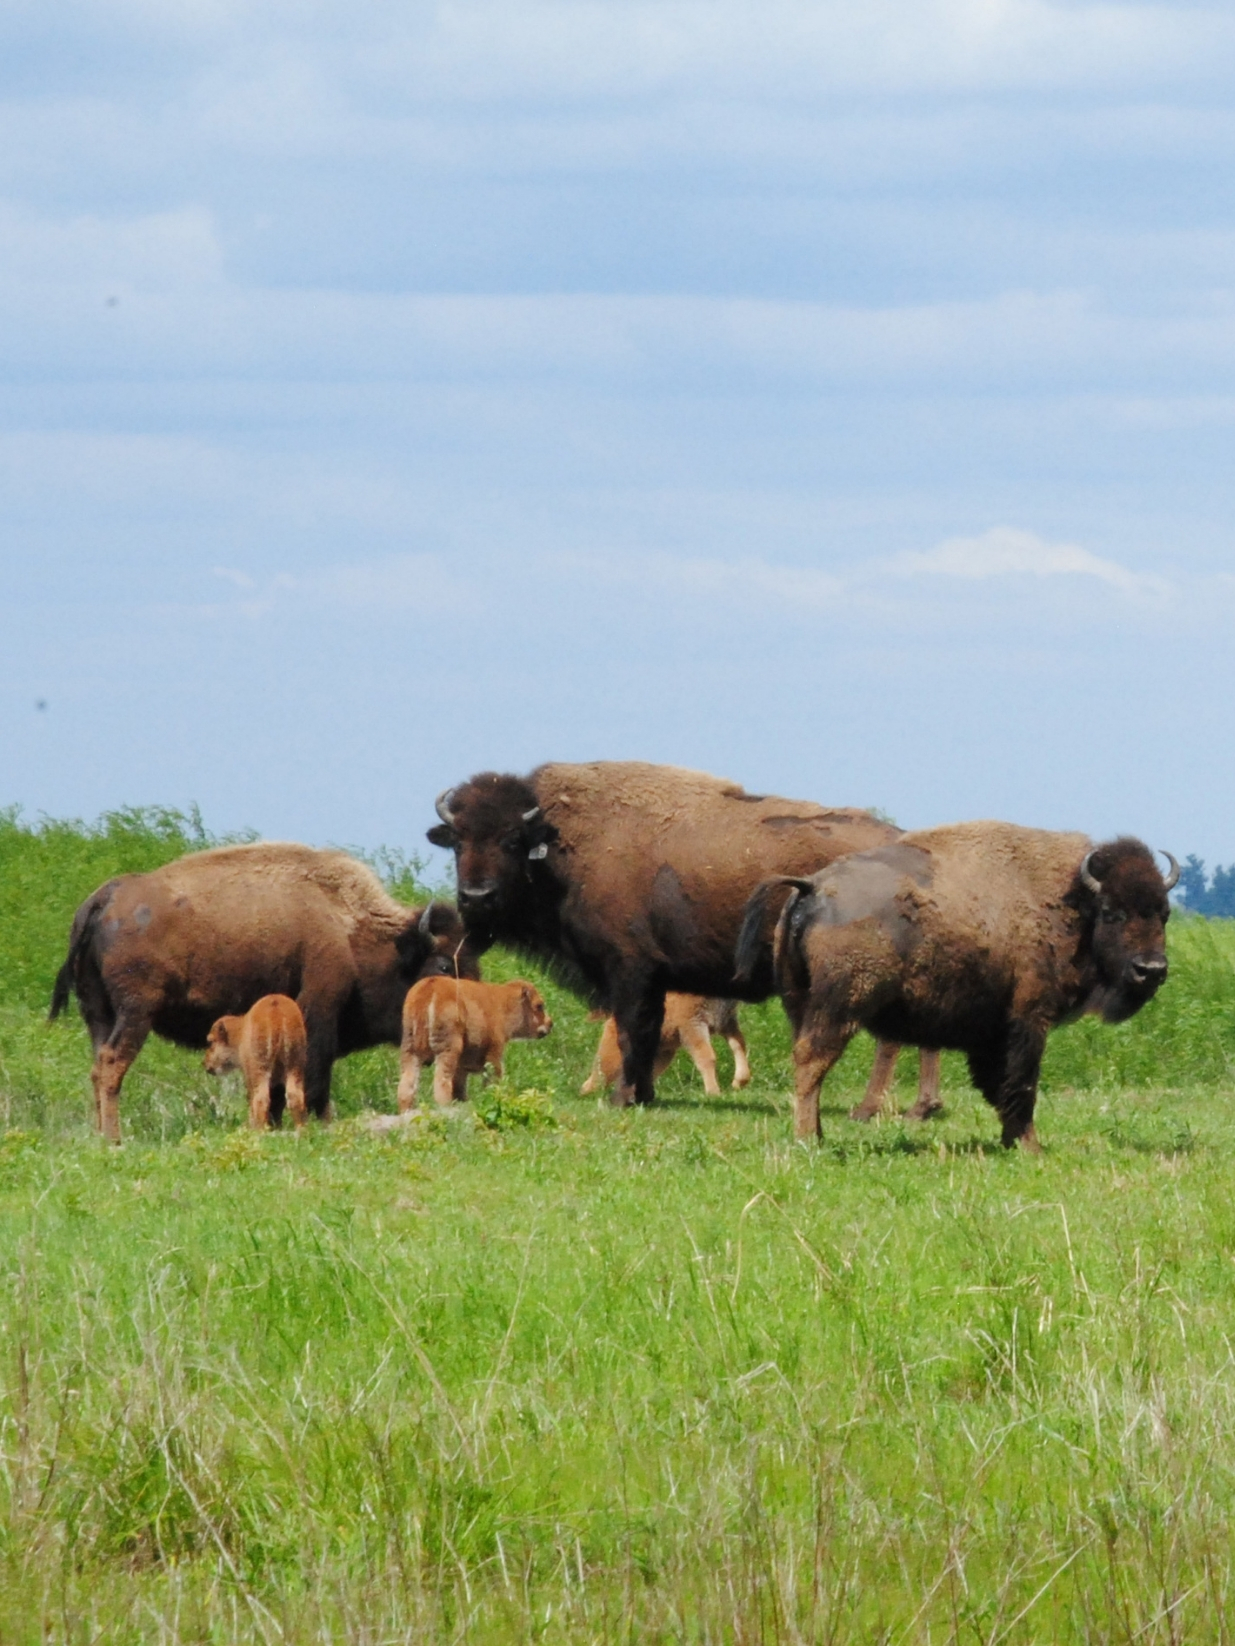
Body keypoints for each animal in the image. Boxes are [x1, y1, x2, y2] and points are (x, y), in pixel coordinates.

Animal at [204, 994, 308, 1131]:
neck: (240, 1033)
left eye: (210, 1042)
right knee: (295, 1096)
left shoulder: (249, 1075)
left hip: (260, 1070)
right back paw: (301, 1130)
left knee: (261, 1099)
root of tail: (276, 1006)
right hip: (295, 1065)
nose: (205, 1063)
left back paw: (259, 1131)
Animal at [397, 977, 553, 1109]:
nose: (550, 1023)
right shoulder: (494, 1053)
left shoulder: (462, 1067)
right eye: (539, 1005)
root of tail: (430, 988)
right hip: (447, 1050)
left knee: (407, 1086)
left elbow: (459, 1088)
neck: (503, 1003)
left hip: (410, 1050)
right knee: (441, 1082)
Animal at [580, 995, 752, 1098]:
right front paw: (714, 1092)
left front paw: (739, 1082)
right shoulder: (692, 1024)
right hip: (613, 1055)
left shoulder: (727, 1022)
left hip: (662, 1056)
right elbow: (706, 1057)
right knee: (596, 1079)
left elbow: (739, 1044)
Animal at [735, 824, 1179, 1152]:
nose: (1151, 969)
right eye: (1112, 912)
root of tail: (813, 888)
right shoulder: (1029, 1017)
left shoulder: (992, 1030)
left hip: (800, 1003)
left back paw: (817, 1133)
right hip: (842, 1005)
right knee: (812, 1060)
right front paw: (1030, 1147)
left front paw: (1011, 1142)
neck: (1070, 899)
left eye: (1164, 913)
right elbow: (1021, 1083)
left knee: (808, 1064)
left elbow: (997, 1084)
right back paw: (808, 1140)